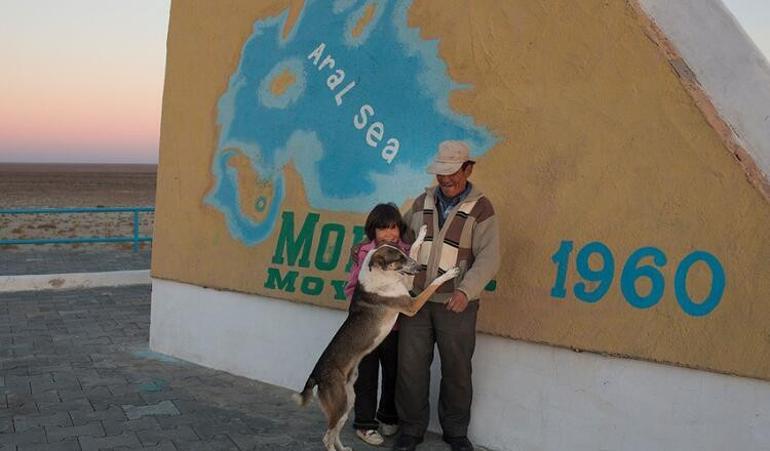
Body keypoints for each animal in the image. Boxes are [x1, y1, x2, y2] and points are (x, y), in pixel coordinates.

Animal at [292, 226, 452, 451]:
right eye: (398, 259)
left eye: (404, 255)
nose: (420, 267)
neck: (381, 275)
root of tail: (316, 374)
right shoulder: (411, 305)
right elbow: (432, 285)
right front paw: (450, 273)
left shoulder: (406, 287)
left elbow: (415, 246)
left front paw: (421, 235)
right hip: (339, 403)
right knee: (326, 437)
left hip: (347, 401)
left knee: (335, 432)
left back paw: (344, 449)